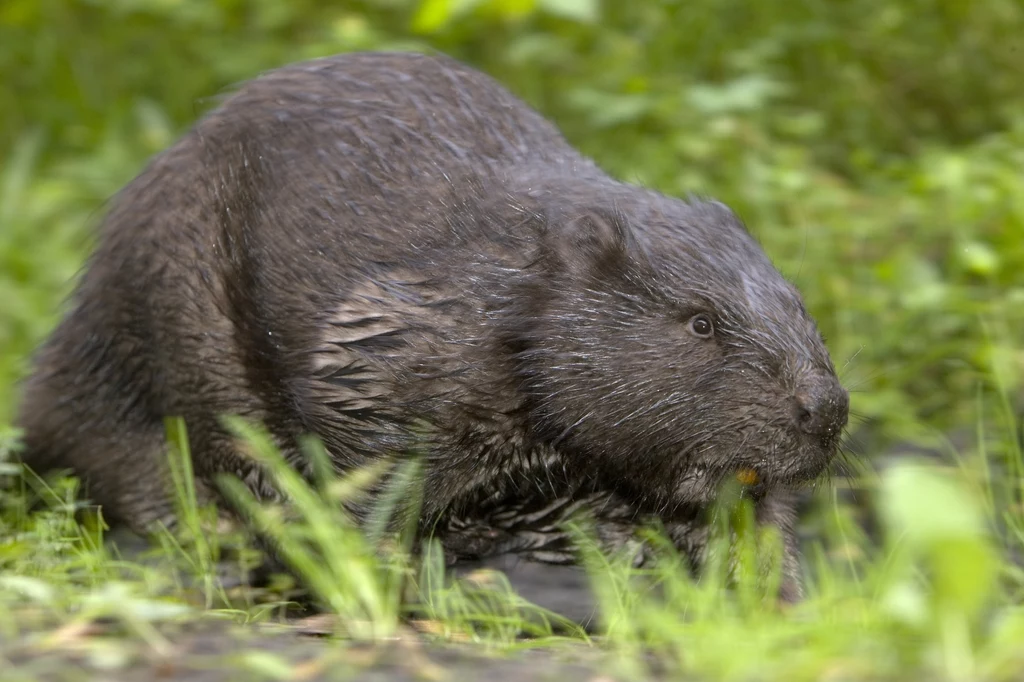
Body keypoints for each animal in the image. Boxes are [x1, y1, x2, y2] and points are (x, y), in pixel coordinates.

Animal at [16, 50, 847, 598]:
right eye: (701, 322)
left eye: (800, 306)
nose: (826, 410)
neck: (515, 291)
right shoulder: (401, 337)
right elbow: (371, 462)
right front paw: (374, 583)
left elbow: (752, 526)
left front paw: (783, 596)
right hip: (170, 323)